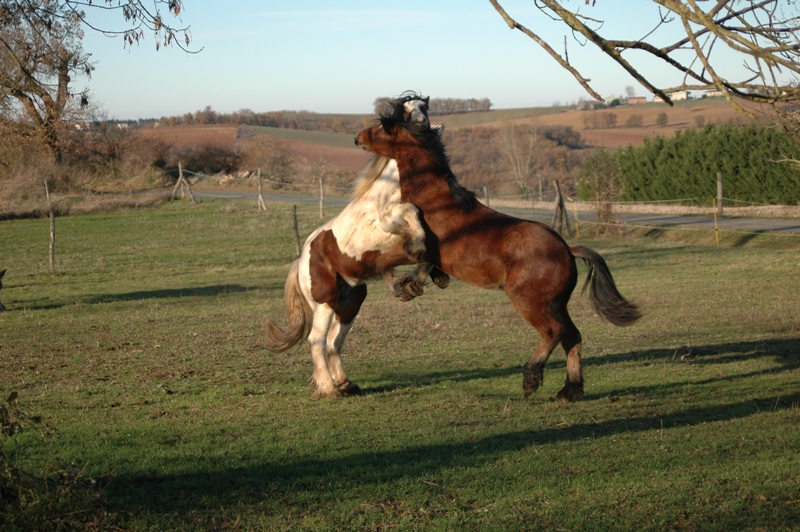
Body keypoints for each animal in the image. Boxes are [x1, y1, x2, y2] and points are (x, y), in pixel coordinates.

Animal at [264, 92, 446, 400]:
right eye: (404, 114)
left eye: (425, 109)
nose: (423, 128)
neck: (393, 185)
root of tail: (301, 260)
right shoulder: (389, 220)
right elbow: (413, 220)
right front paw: (413, 267)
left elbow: (428, 254)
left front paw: (412, 284)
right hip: (324, 302)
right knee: (316, 340)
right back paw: (328, 388)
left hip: (350, 301)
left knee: (333, 342)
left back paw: (345, 383)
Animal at [356, 108, 644, 402]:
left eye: (380, 128)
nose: (357, 138)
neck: (435, 200)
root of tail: (567, 249)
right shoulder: (429, 254)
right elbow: (417, 267)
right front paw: (414, 284)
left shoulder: (413, 246)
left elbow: (382, 261)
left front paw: (401, 288)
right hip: (556, 304)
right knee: (572, 337)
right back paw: (569, 391)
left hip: (528, 302)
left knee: (552, 332)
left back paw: (531, 379)